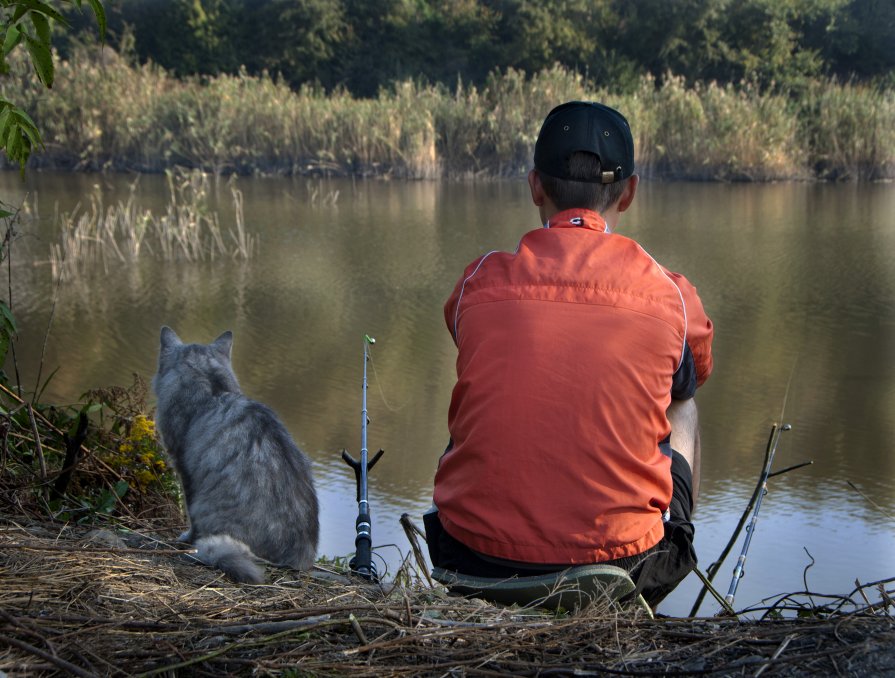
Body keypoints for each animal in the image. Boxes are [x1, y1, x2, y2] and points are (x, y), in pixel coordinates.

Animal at [152, 326, 320, 580]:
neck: (214, 391)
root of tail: (297, 557)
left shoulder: (184, 468)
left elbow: (190, 517)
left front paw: (185, 538)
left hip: (207, 508)